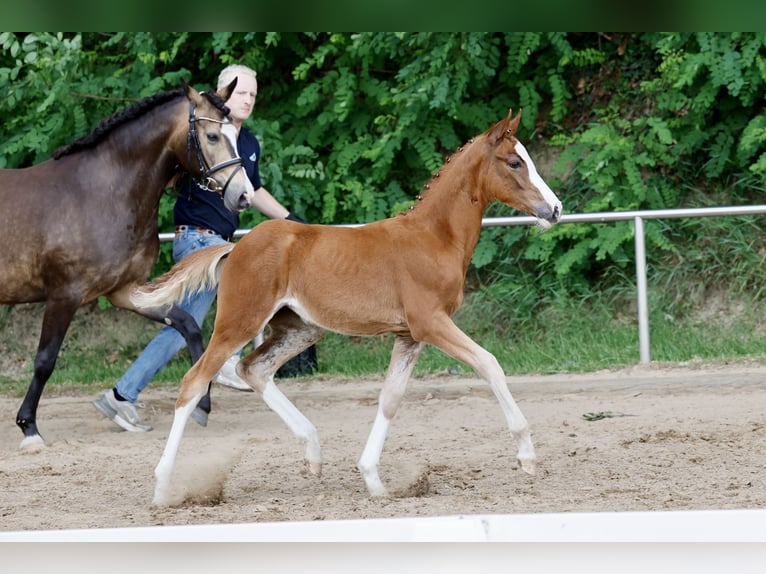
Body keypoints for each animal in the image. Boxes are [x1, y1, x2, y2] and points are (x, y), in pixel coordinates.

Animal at [0, 78, 253, 450]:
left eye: (235, 133)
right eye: (211, 136)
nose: (244, 196)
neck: (101, 194)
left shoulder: (125, 291)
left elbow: (188, 325)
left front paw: (201, 405)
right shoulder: (64, 295)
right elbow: (45, 361)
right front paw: (29, 427)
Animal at [133, 108, 563, 505]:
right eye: (514, 162)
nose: (556, 209)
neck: (433, 237)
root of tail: (234, 248)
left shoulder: (409, 336)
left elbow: (390, 398)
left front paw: (373, 478)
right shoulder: (430, 323)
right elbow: (489, 364)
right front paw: (527, 456)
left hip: (301, 328)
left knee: (253, 368)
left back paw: (312, 451)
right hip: (239, 322)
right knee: (195, 382)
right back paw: (162, 487)